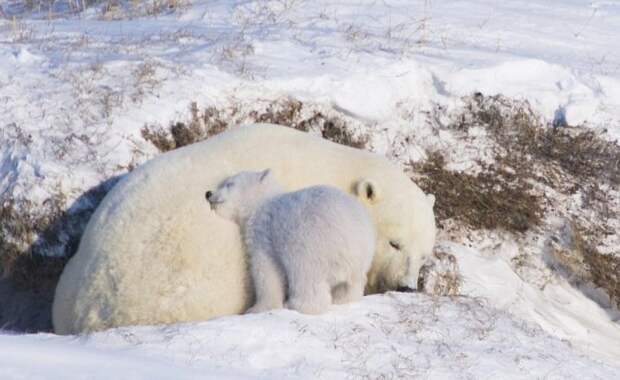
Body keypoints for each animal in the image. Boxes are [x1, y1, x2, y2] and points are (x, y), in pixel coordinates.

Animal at [207, 171, 372, 314]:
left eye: (229, 184)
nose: (209, 193)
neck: (262, 204)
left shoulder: (264, 234)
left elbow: (266, 272)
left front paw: (257, 308)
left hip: (310, 243)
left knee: (305, 276)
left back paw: (295, 304)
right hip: (360, 260)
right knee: (352, 284)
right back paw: (341, 299)